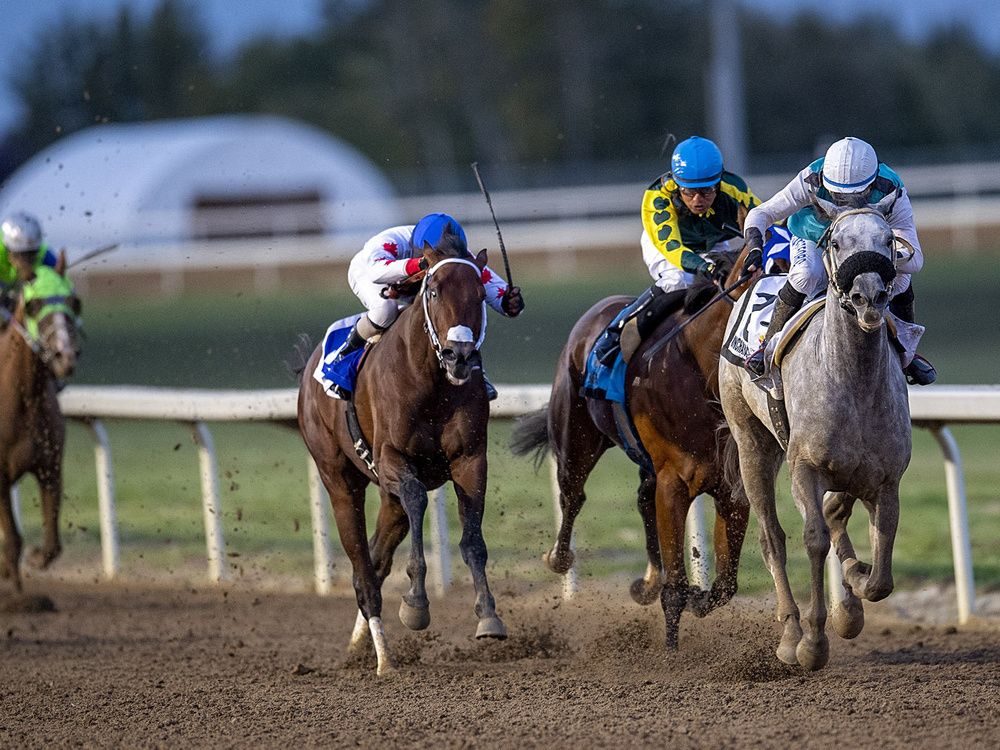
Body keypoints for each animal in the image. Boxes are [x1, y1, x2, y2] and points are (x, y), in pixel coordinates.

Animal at [297, 235, 506, 676]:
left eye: (480, 294)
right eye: (433, 290)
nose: (460, 355)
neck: (432, 383)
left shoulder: (470, 461)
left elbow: (473, 539)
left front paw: (488, 615)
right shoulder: (393, 458)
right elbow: (417, 498)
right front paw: (415, 603)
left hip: (386, 500)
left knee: (375, 563)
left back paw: (361, 648)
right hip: (339, 480)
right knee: (363, 573)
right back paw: (384, 660)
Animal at [511, 246, 756, 650]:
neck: (702, 372)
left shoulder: (731, 487)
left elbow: (725, 586)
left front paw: (698, 596)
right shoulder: (675, 482)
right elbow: (676, 590)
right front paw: (671, 653)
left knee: (642, 498)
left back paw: (648, 581)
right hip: (575, 437)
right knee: (572, 495)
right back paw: (559, 557)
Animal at [719, 196, 911, 671]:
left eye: (888, 240)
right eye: (837, 242)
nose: (869, 297)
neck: (853, 381)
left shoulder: (885, 478)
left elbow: (880, 571)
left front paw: (854, 593)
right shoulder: (804, 467)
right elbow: (814, 538)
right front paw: (812, 641)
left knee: (834, 513)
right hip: (752, 443)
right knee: (772, 537)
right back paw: (790, 632)